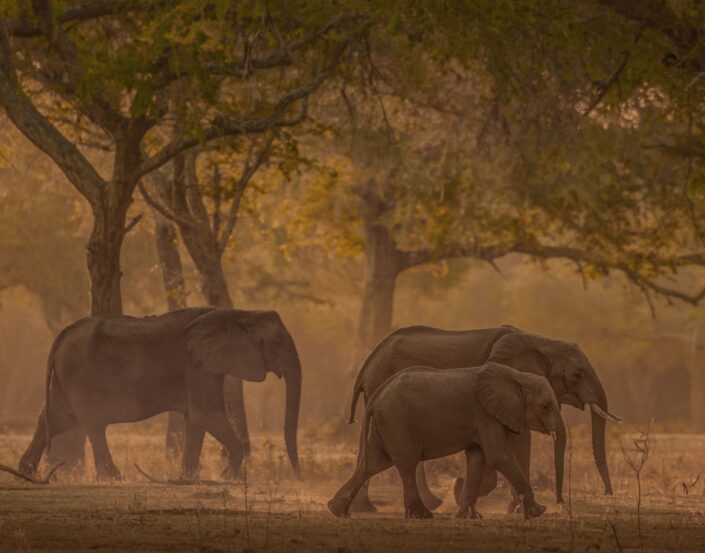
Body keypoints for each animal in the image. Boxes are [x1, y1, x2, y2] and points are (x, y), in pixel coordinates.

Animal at [18, 307, 302, 481]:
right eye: (276, 343)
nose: (298, 475)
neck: (239, 313)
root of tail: (61, 336)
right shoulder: (197, 366)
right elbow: (205, 415)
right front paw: (226, 476)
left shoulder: (202, 367)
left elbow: (195, 421)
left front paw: (187, 478)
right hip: (79, 375)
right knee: (93, 423)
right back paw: (115, 478)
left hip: (67, 378)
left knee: (54, 419)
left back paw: (26, 472)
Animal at [329, 363, 565, 519]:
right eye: (545, 406)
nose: (560, 505)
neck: (517, 376)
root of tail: (376, 395)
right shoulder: (486, 415)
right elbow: (499, 456)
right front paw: (538, 512)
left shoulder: (483, 418)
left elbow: (478, 459)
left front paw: (466, 517)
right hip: (397, 421)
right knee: (406, 465)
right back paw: (422, 515)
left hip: (387, 424)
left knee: (373, 464)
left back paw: (337, 510)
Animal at [347, 325, 619, 513]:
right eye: (576, 374)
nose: (608, 494)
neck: (539, 340)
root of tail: (369, 360)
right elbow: (516, 443)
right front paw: (511, 507)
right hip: (383, 387)